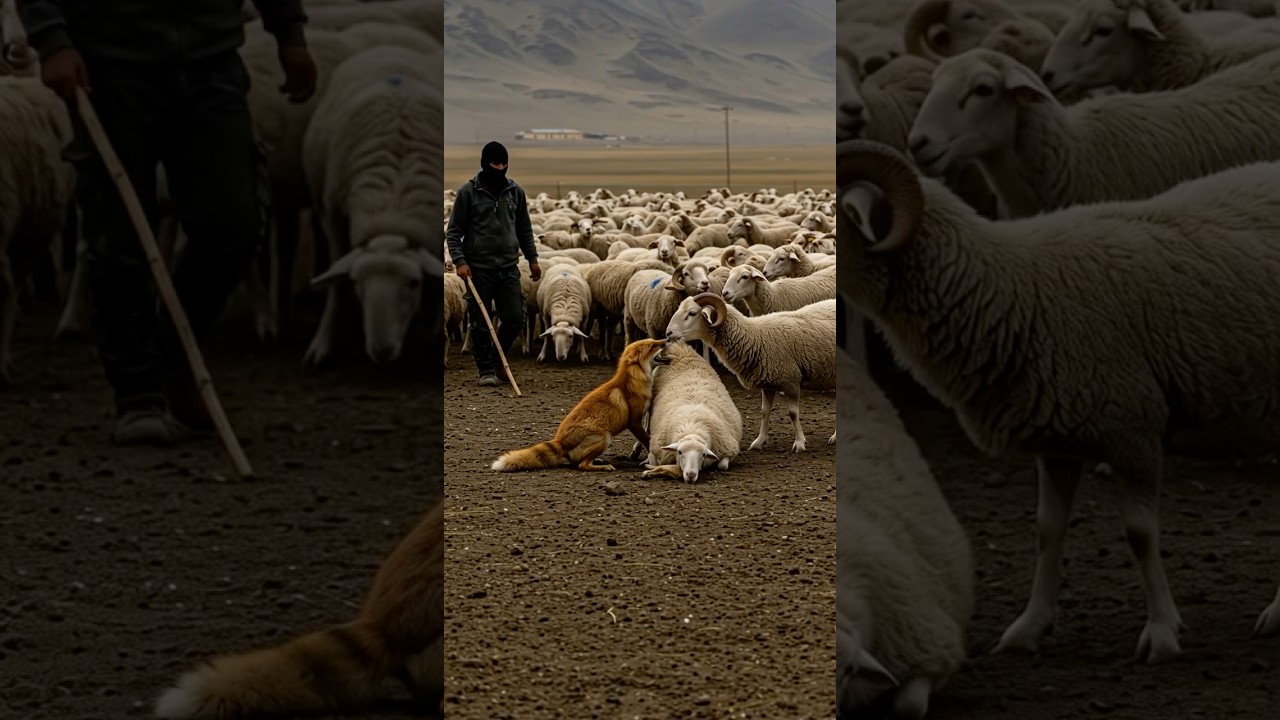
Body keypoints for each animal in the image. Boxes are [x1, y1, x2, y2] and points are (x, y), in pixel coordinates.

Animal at [492, 337, 668, 472]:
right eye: (652, 346)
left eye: (654, 340)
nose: (666, 338)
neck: (633, 382)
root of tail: (559, 441)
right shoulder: (633, 422)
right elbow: (647, 440)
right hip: (604, 437)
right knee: (582, 465)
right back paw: (603, 467)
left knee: (579, 462)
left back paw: (598, 461)